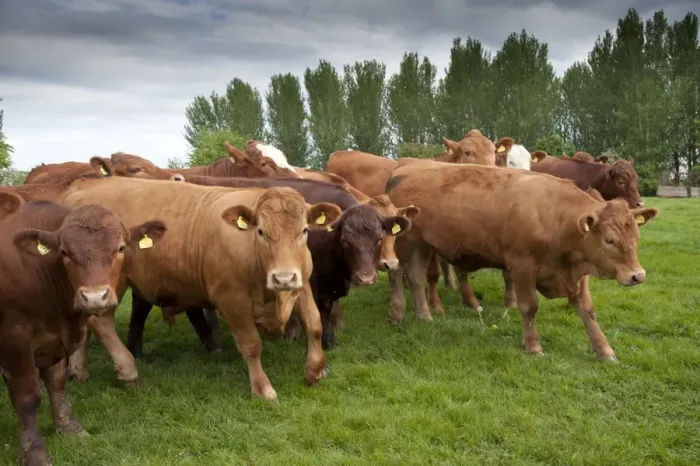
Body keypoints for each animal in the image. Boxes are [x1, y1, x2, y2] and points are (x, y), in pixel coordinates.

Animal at [0, 192, 166, 466]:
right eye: (65, 252)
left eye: (121, 248)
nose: (95, 297)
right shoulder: (14, 338)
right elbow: (27, 396)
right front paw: (34, 452)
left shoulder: (55, 338)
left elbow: (56, 383)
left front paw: (69, 427)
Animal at [62, 176, 342, 400]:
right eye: (261, 232)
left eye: (304, 230)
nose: (283, 278)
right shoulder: (231, 300)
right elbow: (251, 345)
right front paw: (262, 388)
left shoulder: (302, 284)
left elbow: (314, 325)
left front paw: (315, 372)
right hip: (108, 284)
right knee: (100, 322)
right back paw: (127, 371)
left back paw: (79, 370)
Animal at [384, 159, 658, 361]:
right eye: (609, 240)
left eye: (636, 235)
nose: (638, 275)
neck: (554, 215)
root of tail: (402, 170)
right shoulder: (522, 266)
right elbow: (529, 307)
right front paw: (533, 346)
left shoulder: (577, 271)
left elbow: (587, 310)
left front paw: (604, 350)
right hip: (405, 243)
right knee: (399, 274)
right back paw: (399, 313)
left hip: (424, 246)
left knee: (417, 279)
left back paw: (424, 315)